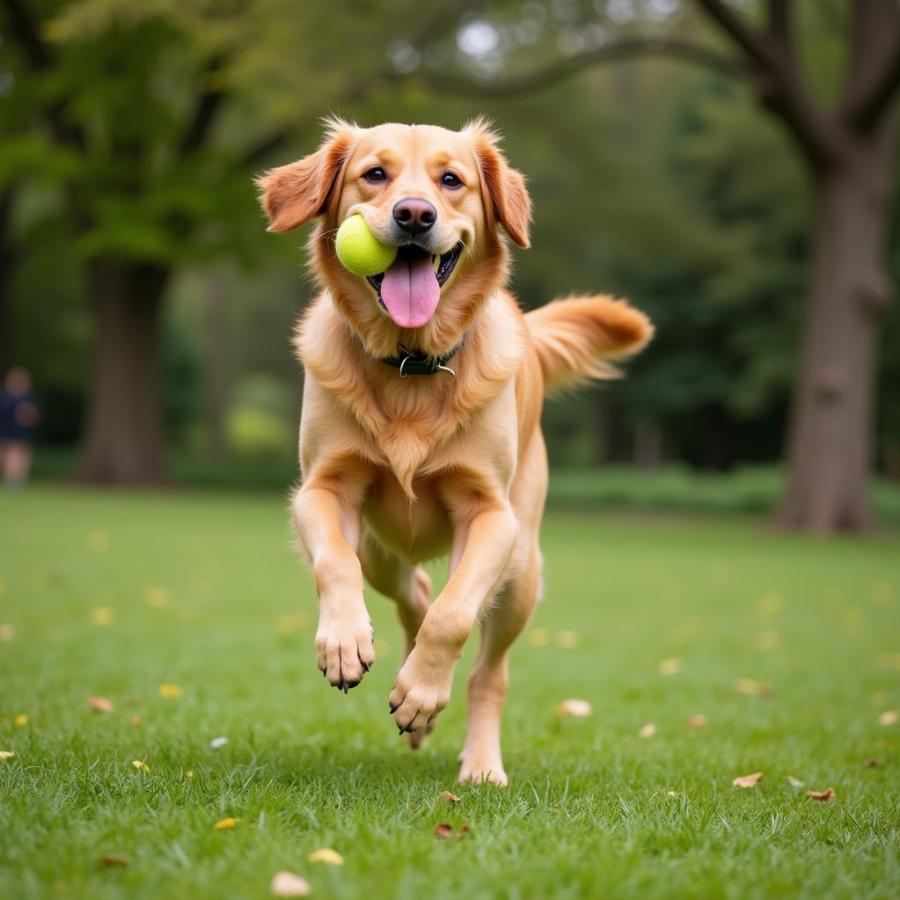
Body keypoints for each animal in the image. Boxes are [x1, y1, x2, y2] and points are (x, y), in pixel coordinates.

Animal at [256, 121, 652, 788]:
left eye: (451, 180)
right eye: (375, 174)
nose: (414, 215)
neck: (411, 363)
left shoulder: (492, 516)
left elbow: (454, 615)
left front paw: (421, 691)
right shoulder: (321, 491)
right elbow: (335, 565)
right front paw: (344, 643)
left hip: (521, 574)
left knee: (487, 671)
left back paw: (478, 759)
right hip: (379, 549)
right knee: (412, 590)